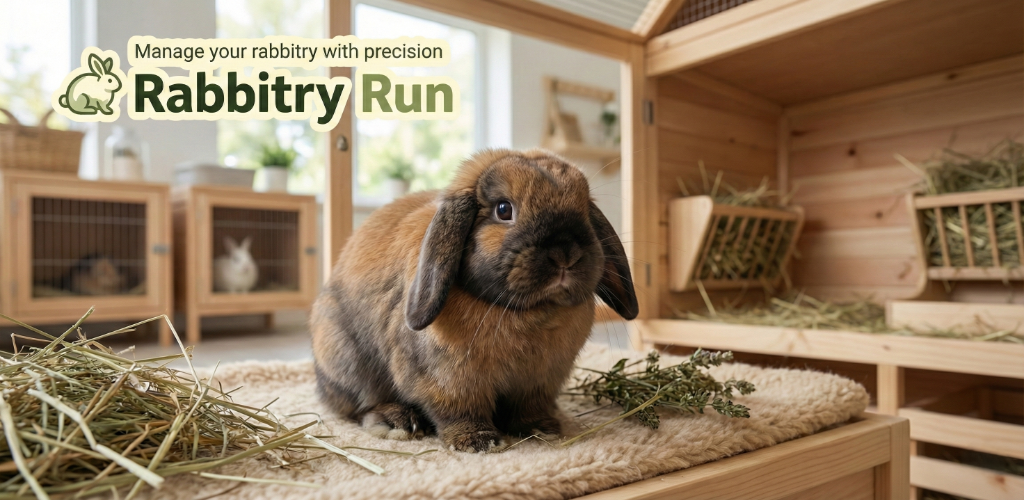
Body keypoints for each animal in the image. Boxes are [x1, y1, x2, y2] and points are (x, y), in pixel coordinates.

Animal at [311, 149, 638, 452]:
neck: (524, 311)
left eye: (584, 209)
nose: (565, 253)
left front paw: (542, 429)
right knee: (359, 405)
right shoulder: (449, 381)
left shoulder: (539, 382)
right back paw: (396, 422)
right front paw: (478, 442)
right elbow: (458, 411)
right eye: (504, 209)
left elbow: (528, 409)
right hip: (346, 360)